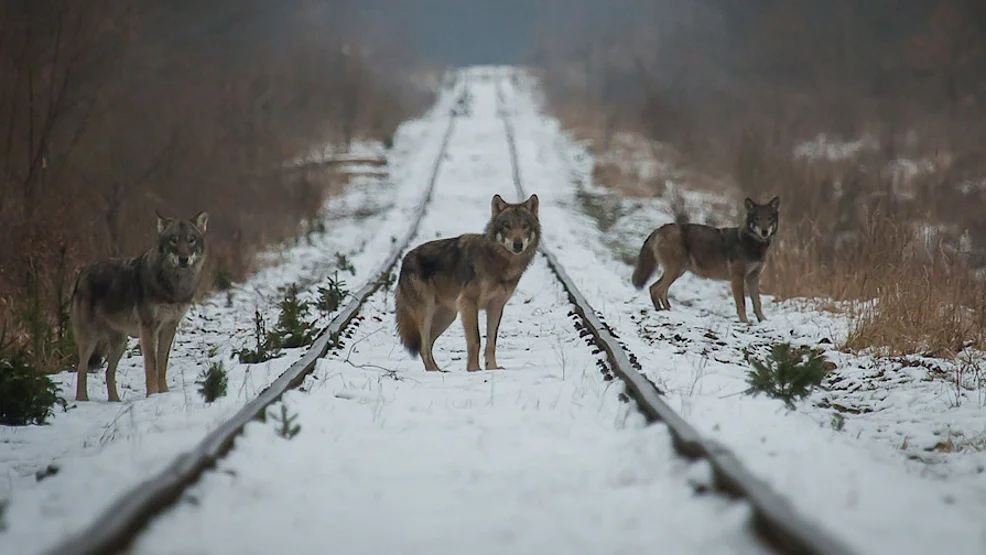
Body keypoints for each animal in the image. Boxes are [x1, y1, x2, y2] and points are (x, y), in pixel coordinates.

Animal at [71, 212, 208, 400]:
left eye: (191, 240)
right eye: (173, 240)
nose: (183, 259)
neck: (173, 286)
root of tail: (82, 273)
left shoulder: (169, 327)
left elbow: (162, 364)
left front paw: (164, 392)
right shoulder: (148, 328)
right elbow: (152, 364)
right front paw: (153, 394)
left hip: (120, 342)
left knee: (108, 372)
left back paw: (115, 401)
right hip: (90, 339)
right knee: (81, 369)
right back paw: (83, 399)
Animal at [392, 193, 540, 372]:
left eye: (525, 226)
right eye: (507, 226)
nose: (518, 244)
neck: (498, 261)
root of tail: (404, 260)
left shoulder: (496, 307)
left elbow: (491, 342)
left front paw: (492, 368)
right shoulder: (468, 304)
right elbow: (476, 340)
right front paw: (474, 369)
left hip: (448, 316)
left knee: (426, 345)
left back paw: (439, 371)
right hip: (426, 313)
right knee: (423, 346)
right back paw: (436, 372)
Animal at [636, 198, 780, 324]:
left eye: (769, 218)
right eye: (757, 219)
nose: (764, 231)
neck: (752, 244)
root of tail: (660, 228)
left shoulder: (753, 278)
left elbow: (757, 302)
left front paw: (763, 320)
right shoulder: (737, 277)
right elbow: (742, 303)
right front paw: (745, 321)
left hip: (678, 271)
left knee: (654, 288)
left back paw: (664, 310)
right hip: (675, 270)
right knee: (658, 290)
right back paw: (666, 312)